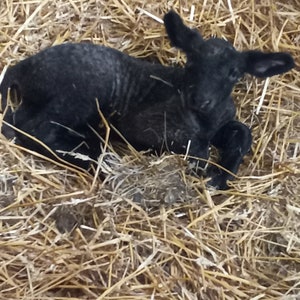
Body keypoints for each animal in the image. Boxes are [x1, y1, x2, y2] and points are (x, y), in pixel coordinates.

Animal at [0, 10, 294, 189]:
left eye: (234, 73)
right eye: (192, 62)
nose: (200, 99)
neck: (203, 117)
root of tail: (23, 66)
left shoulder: (218, 125)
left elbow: (242, 132)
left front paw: (221, 177)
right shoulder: (149, 125)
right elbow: (198, 149)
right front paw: (209, 173)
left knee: (19, 120)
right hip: (79, 94)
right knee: (35, 129)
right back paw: (94, 160)